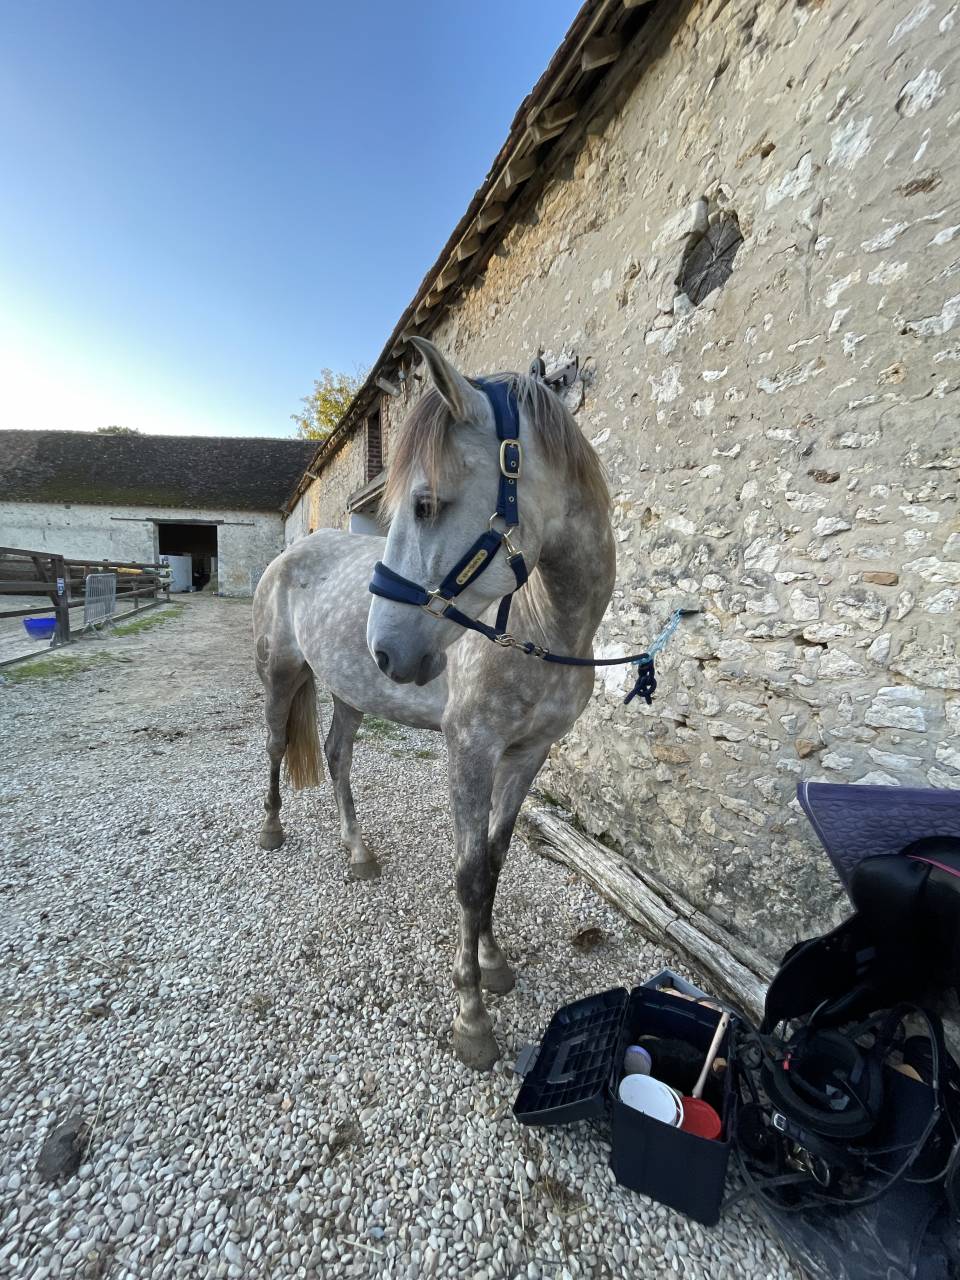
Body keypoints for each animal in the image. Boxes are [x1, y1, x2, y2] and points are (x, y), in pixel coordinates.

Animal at [252, 338, 615, 1069]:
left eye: (424, 504)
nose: (388, 649)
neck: (546, 626)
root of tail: (294, 551)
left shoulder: (527, 754)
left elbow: (495, 861)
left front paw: (493, 964)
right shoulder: (469, 749)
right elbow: (470, 876)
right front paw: (472, 1015)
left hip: (350, 691)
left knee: (336, 758)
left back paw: (358, 854)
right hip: (282, 673)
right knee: (277, 745)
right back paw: (273, 829)